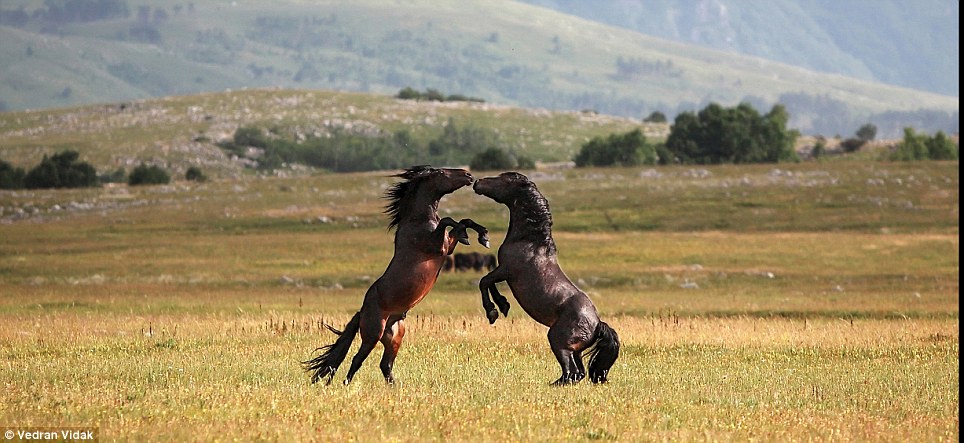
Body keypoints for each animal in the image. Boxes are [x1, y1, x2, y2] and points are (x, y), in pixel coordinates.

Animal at [304, 166, 486, 386]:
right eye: (443, 173)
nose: (468, 175)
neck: (417, 221)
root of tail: (362, 312)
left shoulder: (447, 247)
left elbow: (462, 222)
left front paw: (480, 235)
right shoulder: (437, 246)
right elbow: (448, 221)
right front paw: (472, 235)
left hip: (394, 338)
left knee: (386, 365)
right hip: (372, 334)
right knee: (357, 359)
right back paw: (346, 385)